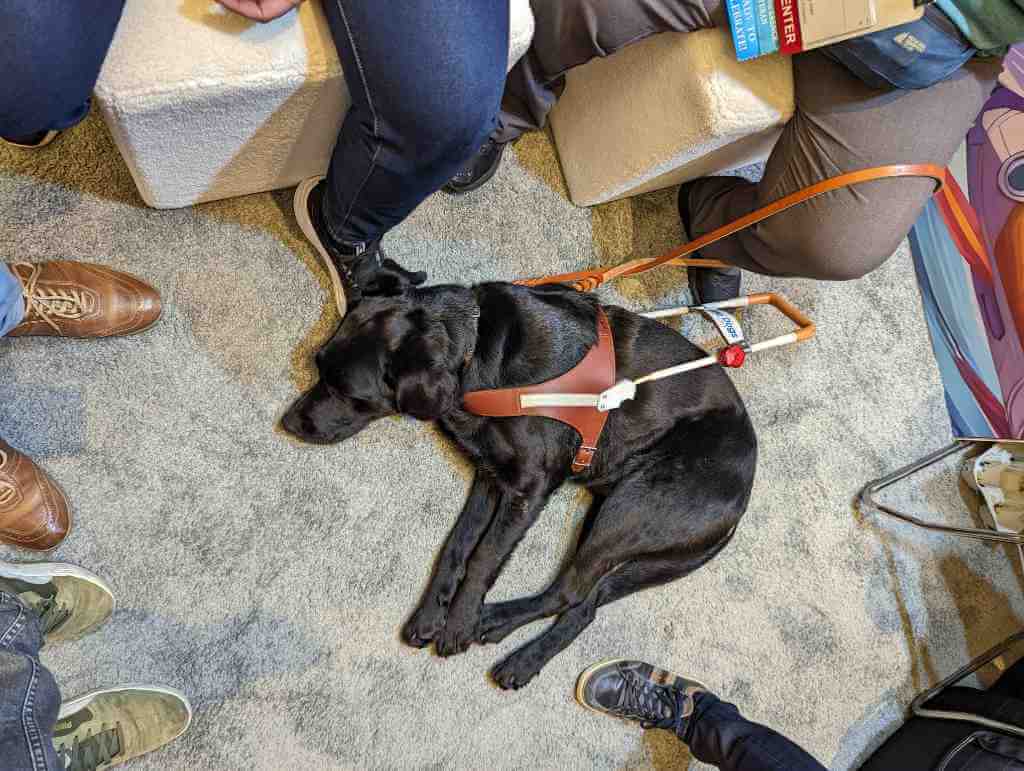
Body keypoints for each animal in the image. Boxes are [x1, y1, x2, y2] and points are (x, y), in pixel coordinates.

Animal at [284, 274, 757, 683]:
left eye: (348, 393)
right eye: (318, 365)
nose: (287, 423)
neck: (475, 351)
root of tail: (742, 501)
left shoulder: (529, 487)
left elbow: (484, 556)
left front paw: (459, 622)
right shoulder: (490, 475)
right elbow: (456, 547)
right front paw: (432, 614)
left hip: (631, 507)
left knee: (568, 591)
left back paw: (492, 619)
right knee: (585, 603)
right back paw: (524, 660)